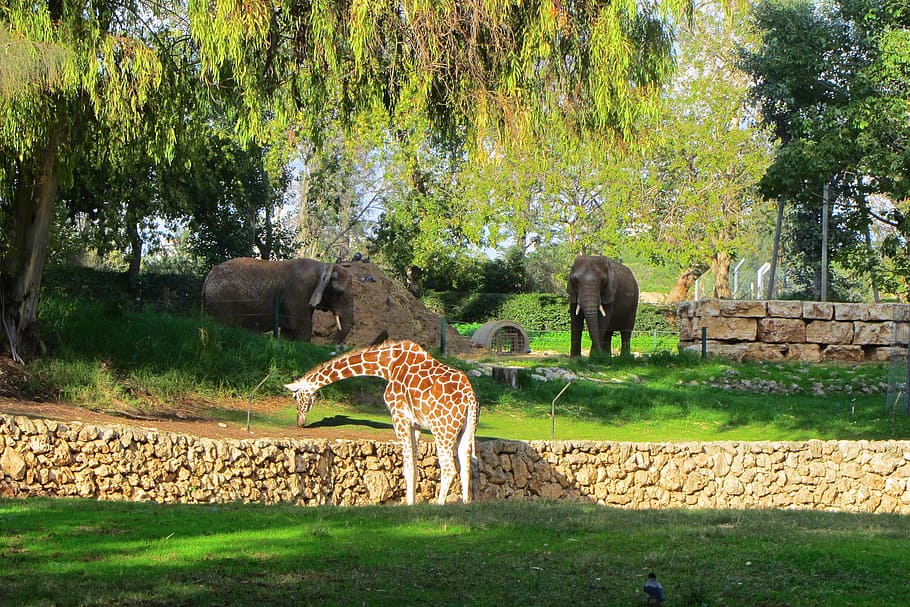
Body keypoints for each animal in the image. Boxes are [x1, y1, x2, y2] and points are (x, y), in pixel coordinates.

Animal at [202, 257, 354, 343]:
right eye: (339, 293)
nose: (330, 346)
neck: (324, 266)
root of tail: (207, 279)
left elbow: (289, 332)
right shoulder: (298, 293)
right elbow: (302, 330)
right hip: (223, 301)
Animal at [284, 340, 479, 505]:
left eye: (295, 397)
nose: (300, 422)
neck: (387, 364)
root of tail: (470, 398)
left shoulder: (399, 416)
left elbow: (408, 466)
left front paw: (409, 505)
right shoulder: (415, 423)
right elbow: (414, 465)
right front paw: (412, 503)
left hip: (442, 430)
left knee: (449, 468)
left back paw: (440, 505)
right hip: (466, 429)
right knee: (466, 466)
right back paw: (464, 504)